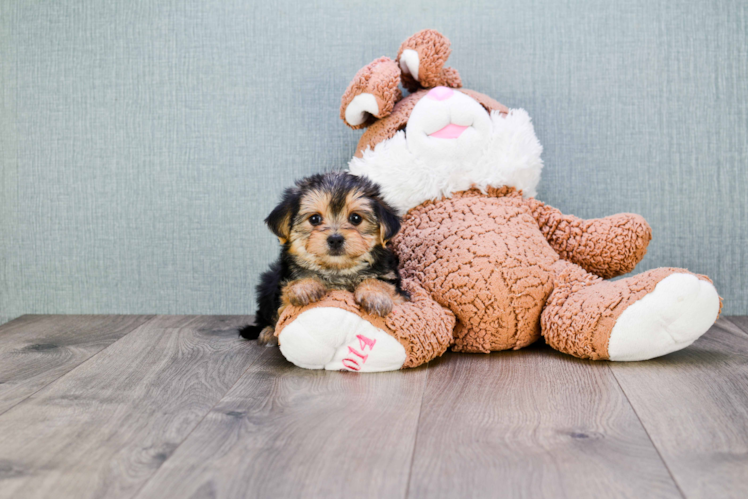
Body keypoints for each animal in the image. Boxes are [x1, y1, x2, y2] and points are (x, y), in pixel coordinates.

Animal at [241, 172, 410, 344]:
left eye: (355, 218)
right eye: (315, 219)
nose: (335, 239)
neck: (336, 270)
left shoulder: (397, 290)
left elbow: (382, 283)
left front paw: (375, 295)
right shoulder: (282, 291)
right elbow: (288, 296)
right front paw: (305, 286)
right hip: (267, 286)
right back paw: (268, 332)